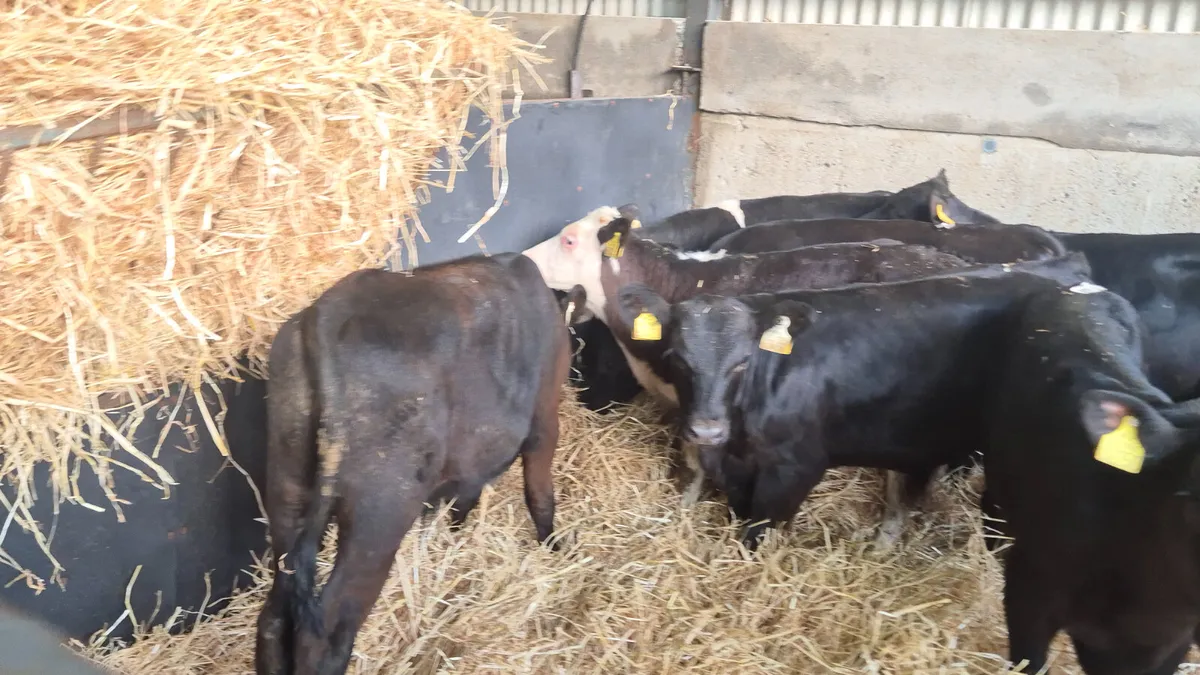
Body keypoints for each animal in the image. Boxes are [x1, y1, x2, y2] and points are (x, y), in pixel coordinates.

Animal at [254, 253, 573, 675]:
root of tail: (329, 311)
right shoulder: (544, 420)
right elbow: (539, 494)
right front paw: (553, 548)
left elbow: (463, 497)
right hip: (379, 517)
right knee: (326, 630)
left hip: (288, 493)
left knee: (274, 619)